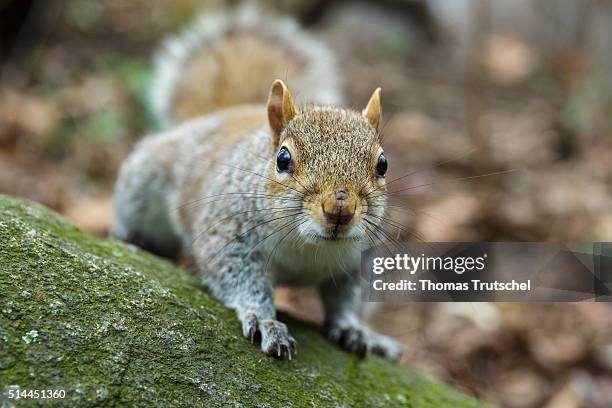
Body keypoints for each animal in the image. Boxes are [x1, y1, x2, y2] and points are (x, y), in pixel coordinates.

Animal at [113, 6, 404, 360]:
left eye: (383, 164)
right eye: (283, 159)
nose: (340, 209)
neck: (308, 248)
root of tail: (227, 112)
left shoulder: (359, 260)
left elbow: (346, 299)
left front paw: (353, 328)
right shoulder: (228, 233)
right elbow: (242, 280)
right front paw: (265, 321)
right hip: (143, 184)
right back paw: (135, 238)